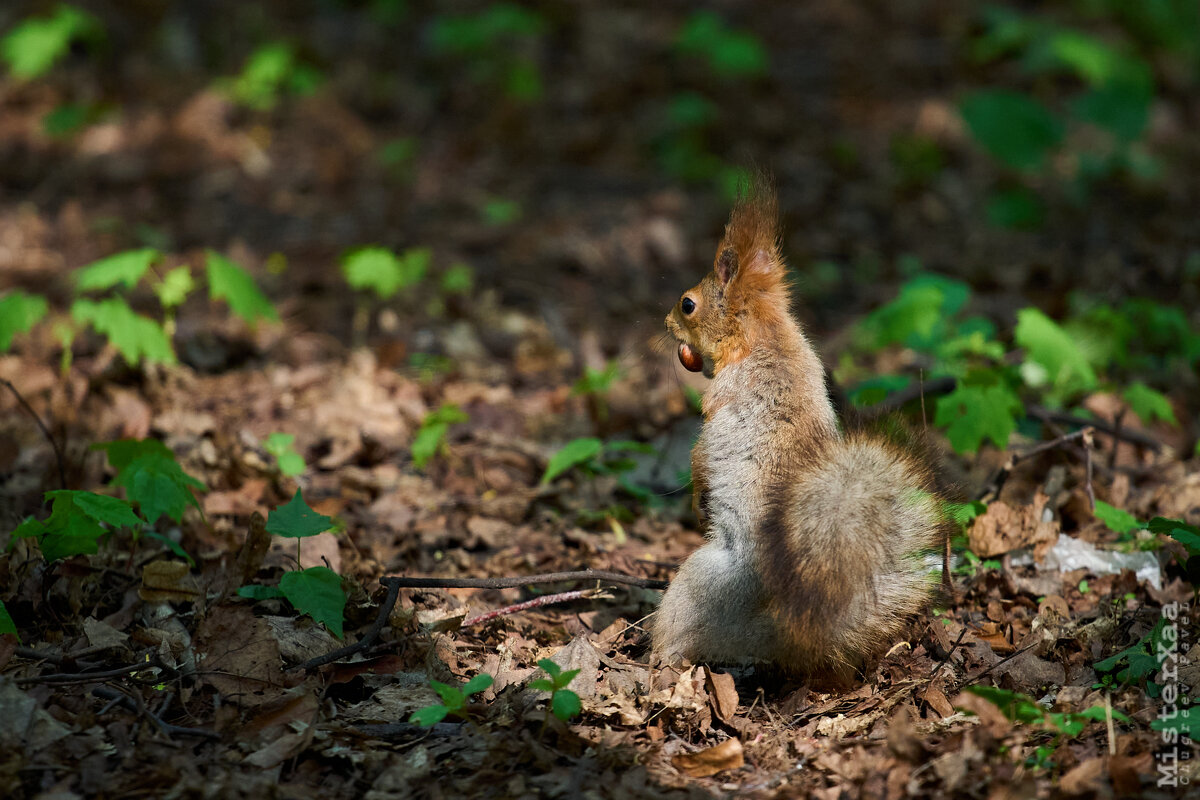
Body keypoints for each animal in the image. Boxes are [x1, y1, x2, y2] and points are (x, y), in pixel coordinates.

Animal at [652, 179, 940, 681]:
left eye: (688, 304)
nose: (667, 322)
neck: (766, 336)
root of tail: (784, 633)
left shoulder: (723, 398)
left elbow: (700, 453)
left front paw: (694, 494)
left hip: (696, 588)